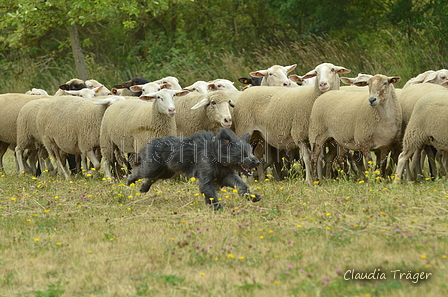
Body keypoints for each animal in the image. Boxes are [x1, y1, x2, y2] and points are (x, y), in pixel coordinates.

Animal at [126, 128, 260, 209]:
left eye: (251, 152)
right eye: (243, 154)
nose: (258, 162)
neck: (215, 154)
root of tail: (150, 142)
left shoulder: (226, 175)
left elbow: (241, 185)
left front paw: (253, 197)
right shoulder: (206, 176)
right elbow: (209, 191)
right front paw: (217, 207)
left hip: (166, 171)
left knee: (151, 178)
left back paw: (143, 188)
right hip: (152, 167)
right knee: (139, 172)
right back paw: (129, 181)